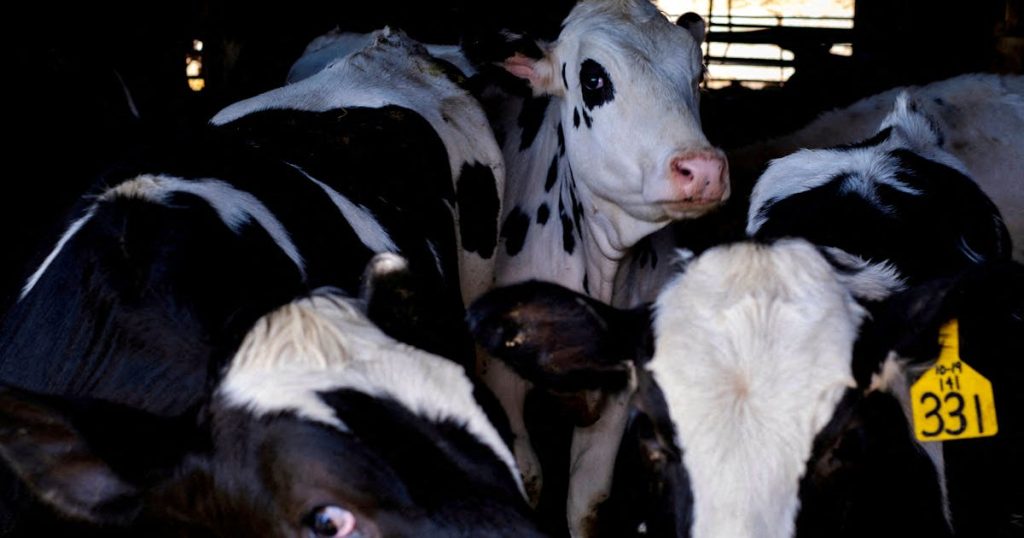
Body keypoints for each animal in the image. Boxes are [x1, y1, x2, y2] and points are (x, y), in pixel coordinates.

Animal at [463, 2, 729, 530]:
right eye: (593, 78)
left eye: (699, 74)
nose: (703, 169)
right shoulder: (499, 381)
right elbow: (529, 478)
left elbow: (588, 501)